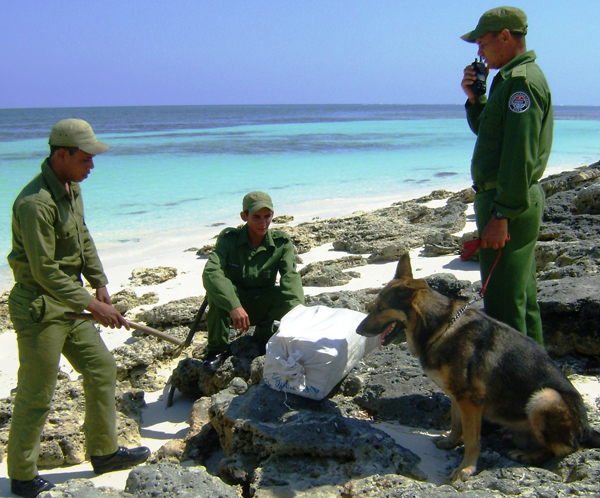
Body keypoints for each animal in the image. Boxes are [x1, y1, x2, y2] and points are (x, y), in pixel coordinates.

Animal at [356, 255, 600, 480]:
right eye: (373, 307)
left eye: (381, 309)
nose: (358, 331)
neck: (440, 328)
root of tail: (587, 430)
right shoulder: (457, 396)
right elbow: (457, 425)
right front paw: (450, 442)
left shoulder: (470, 400)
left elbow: (472, 439)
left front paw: (466, 468)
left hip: (545, 397)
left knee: (562, 449)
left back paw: (528, 455)